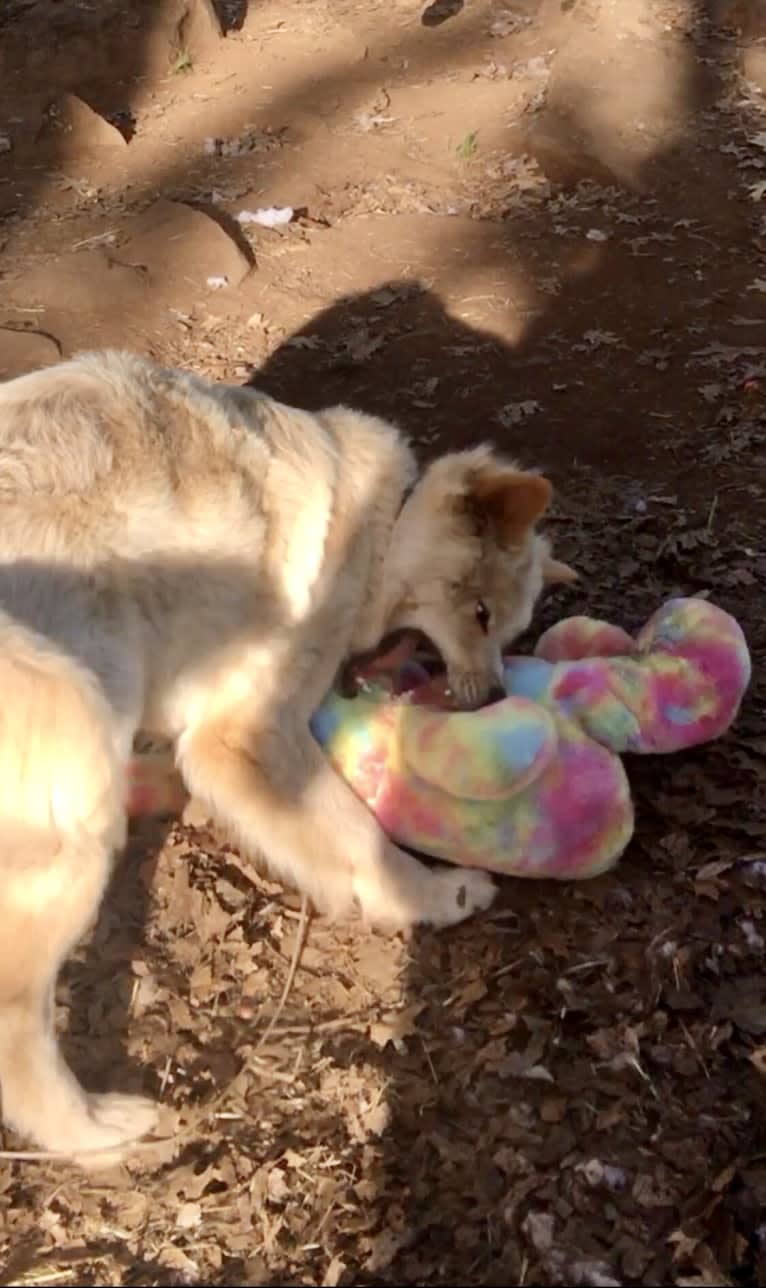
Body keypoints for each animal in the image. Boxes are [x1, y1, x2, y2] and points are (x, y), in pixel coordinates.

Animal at [0, 347, 571, 1164]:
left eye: (514, 632)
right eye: (482, 614)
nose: (493, 696)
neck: (377, 523)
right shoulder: (248, 733)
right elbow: (364, 840)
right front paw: (432, 897)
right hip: (71, 783)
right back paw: (95, 1134)